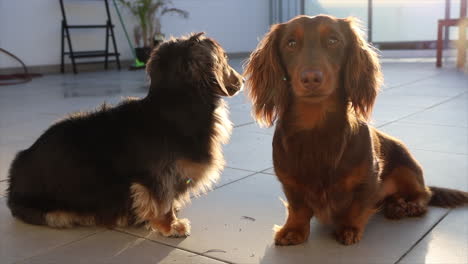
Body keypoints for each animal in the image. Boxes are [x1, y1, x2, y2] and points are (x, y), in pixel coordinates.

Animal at [7, 33, 243, 237]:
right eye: (225, 59)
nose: (242, 79)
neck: (175, 107)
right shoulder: (160, 176)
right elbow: (163, 202)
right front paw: (171, 226)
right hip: (55, 211)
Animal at [245, 14, 468, 245]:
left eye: (333, 40)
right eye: (291, 43)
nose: (311, 78)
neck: (315, 127)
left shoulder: (368, 178)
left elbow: (358, 206)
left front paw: (349, 228)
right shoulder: (289, 181)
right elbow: (298, 207)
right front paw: (293, 230)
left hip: (406, 164)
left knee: (424, 195)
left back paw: (407, 205)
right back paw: (395, 205)